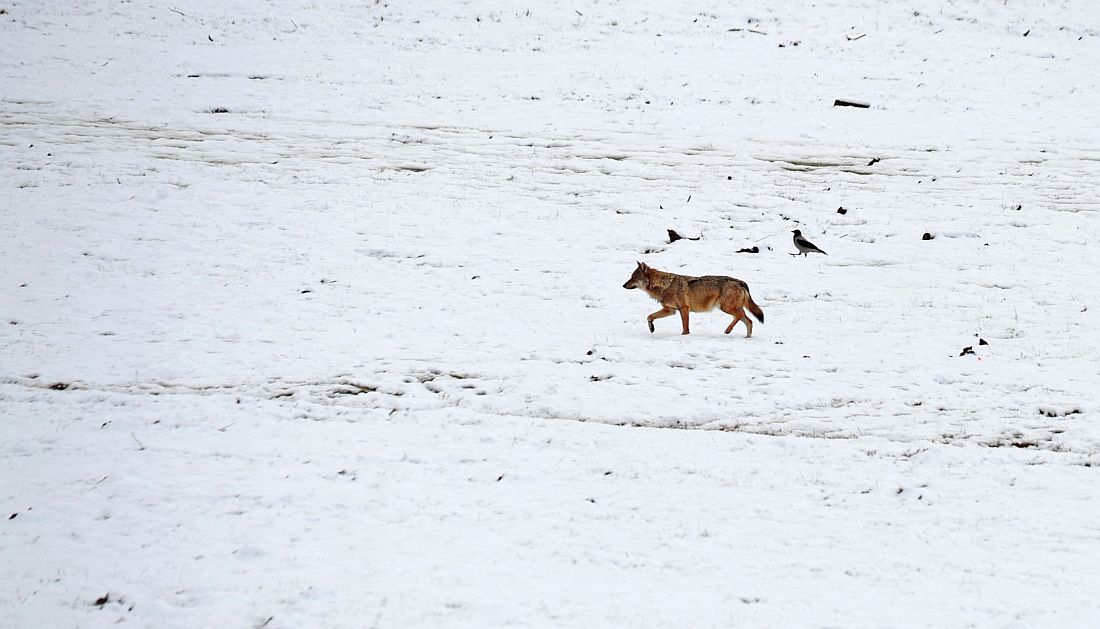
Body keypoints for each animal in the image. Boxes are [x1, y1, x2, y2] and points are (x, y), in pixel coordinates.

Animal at [620, 261, 765, 336]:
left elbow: (685, 327)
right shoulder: (670, 310)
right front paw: (651, 328)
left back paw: (728, 330)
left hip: (725, 307)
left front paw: (685, 336)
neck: (663, 285)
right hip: (729, 308)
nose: (623, 285)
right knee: (749, 321)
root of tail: (741, 281)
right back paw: (746, 337)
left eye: (633, 277)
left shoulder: (684, 308)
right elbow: (649, 316)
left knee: (742, 316)